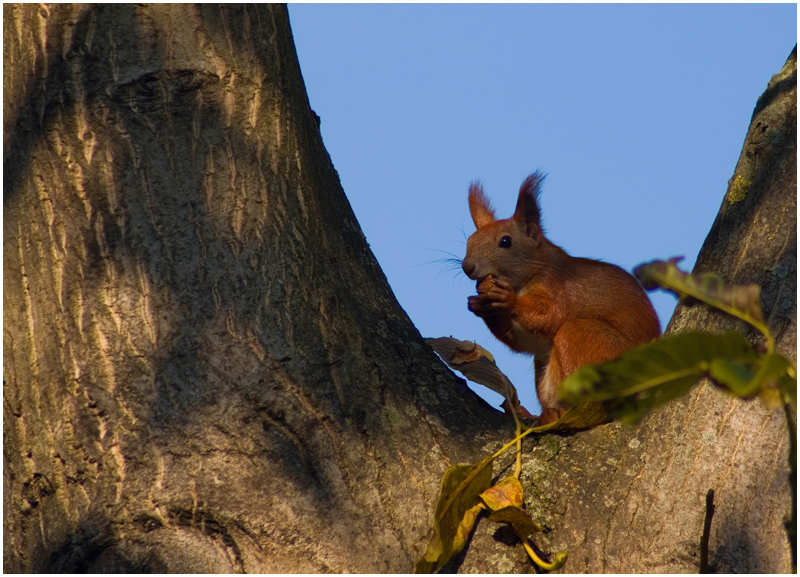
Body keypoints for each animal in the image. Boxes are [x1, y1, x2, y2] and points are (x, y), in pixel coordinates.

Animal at [462, 172, 664, 424]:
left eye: (506, 242)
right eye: (469, 241)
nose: (467, 266)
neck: (532, 273)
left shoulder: (560, 288)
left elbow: (550, 317)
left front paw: (508, 299)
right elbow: (527, 342)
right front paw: (481, 306)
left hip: (595, 345)